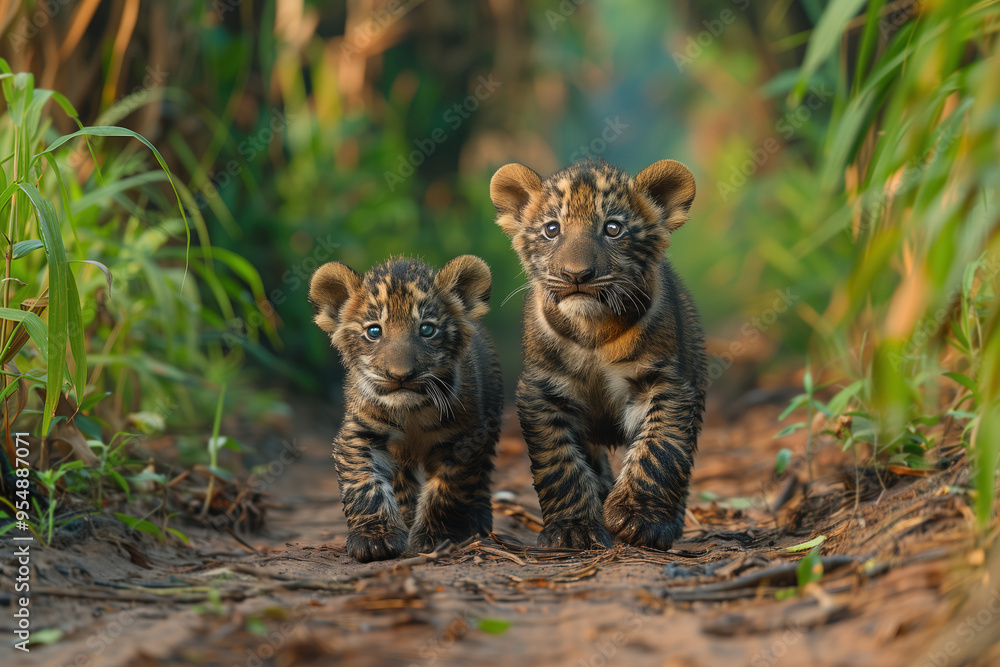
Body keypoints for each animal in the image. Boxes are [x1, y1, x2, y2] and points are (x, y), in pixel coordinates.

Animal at [309, 255, 503, 562]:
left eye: (427, 329)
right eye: (374, 331)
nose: (400, 375)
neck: (411, 412)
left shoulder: (463, 438)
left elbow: (448, 490)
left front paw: (435, 538)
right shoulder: (359, 435)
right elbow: (365, 485)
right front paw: (374, 540)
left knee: (483, 476)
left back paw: (478, 521)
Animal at [490, 157, 707, 551]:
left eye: (613, 228)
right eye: (552, 229)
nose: (576, 275)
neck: (594, 331)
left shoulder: (666, 384)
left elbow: (659, 450)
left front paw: (638, 519)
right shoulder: (542, 391)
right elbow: (559, 463)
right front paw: (573, 528)